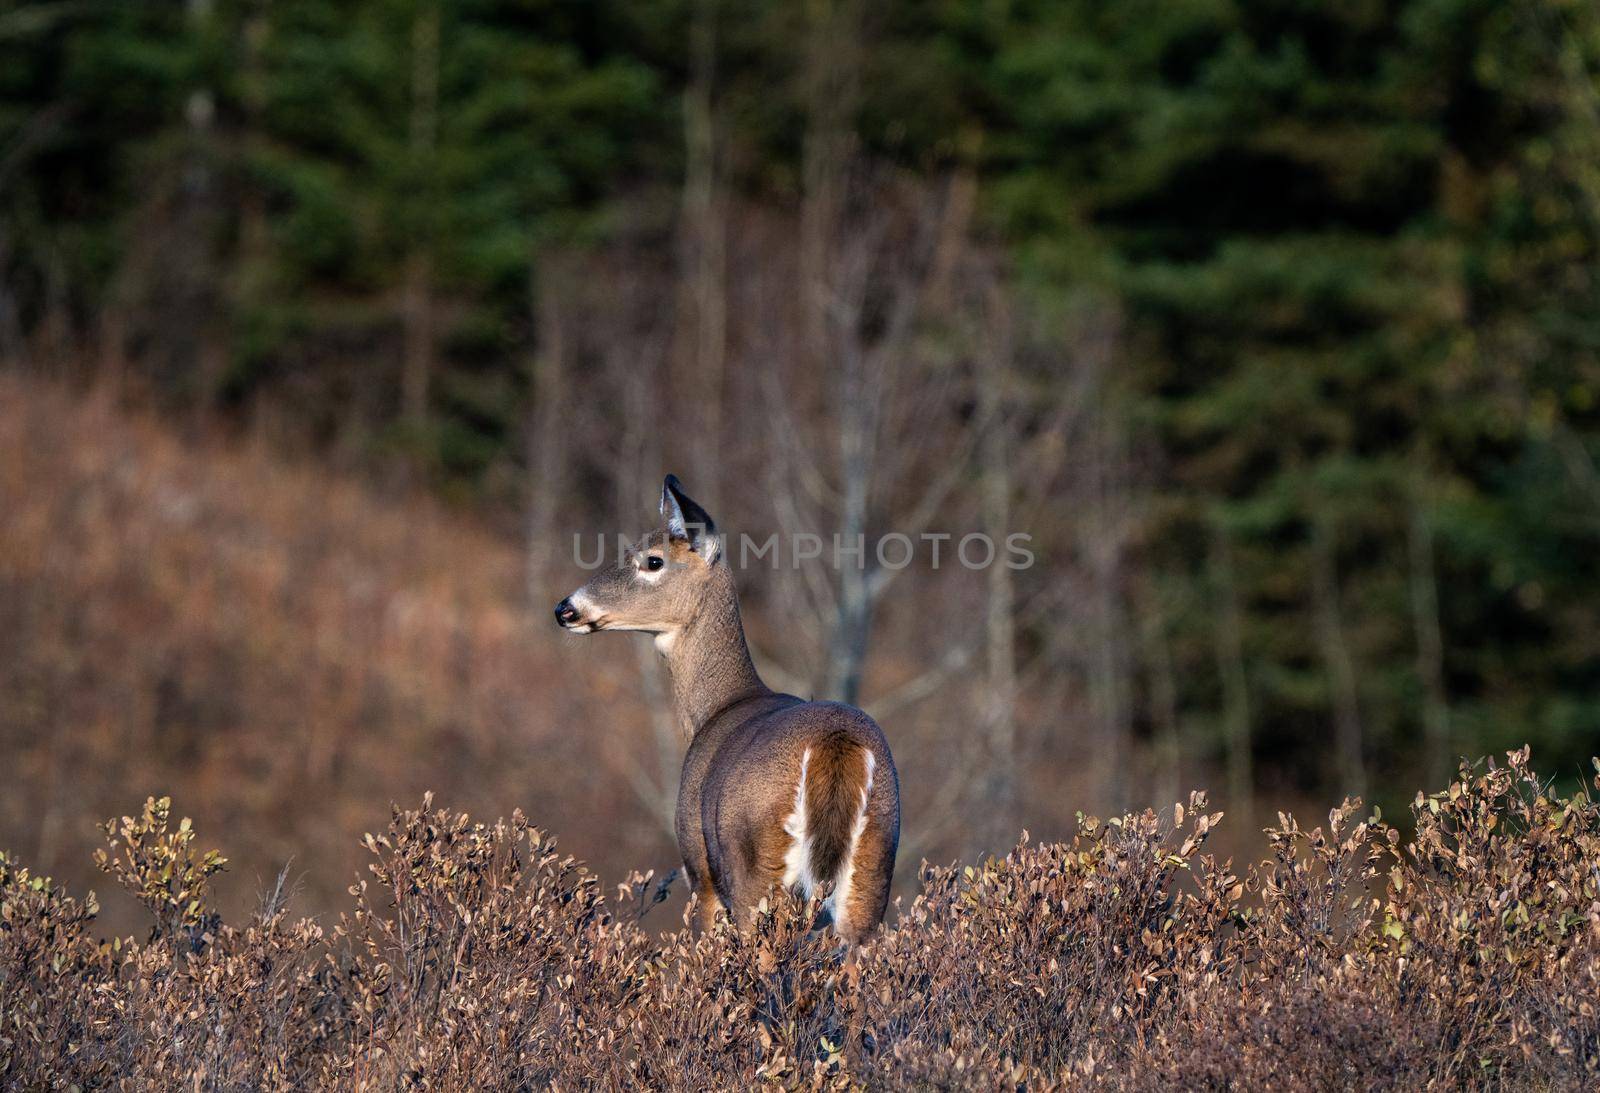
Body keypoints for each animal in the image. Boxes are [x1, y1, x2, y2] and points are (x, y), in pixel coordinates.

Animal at [553, 473, 902, 947]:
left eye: (653, 561)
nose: (565, 609)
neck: (719, 707)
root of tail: (837, 746)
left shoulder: (699, 870)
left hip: (754, 871)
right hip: (872, 876)